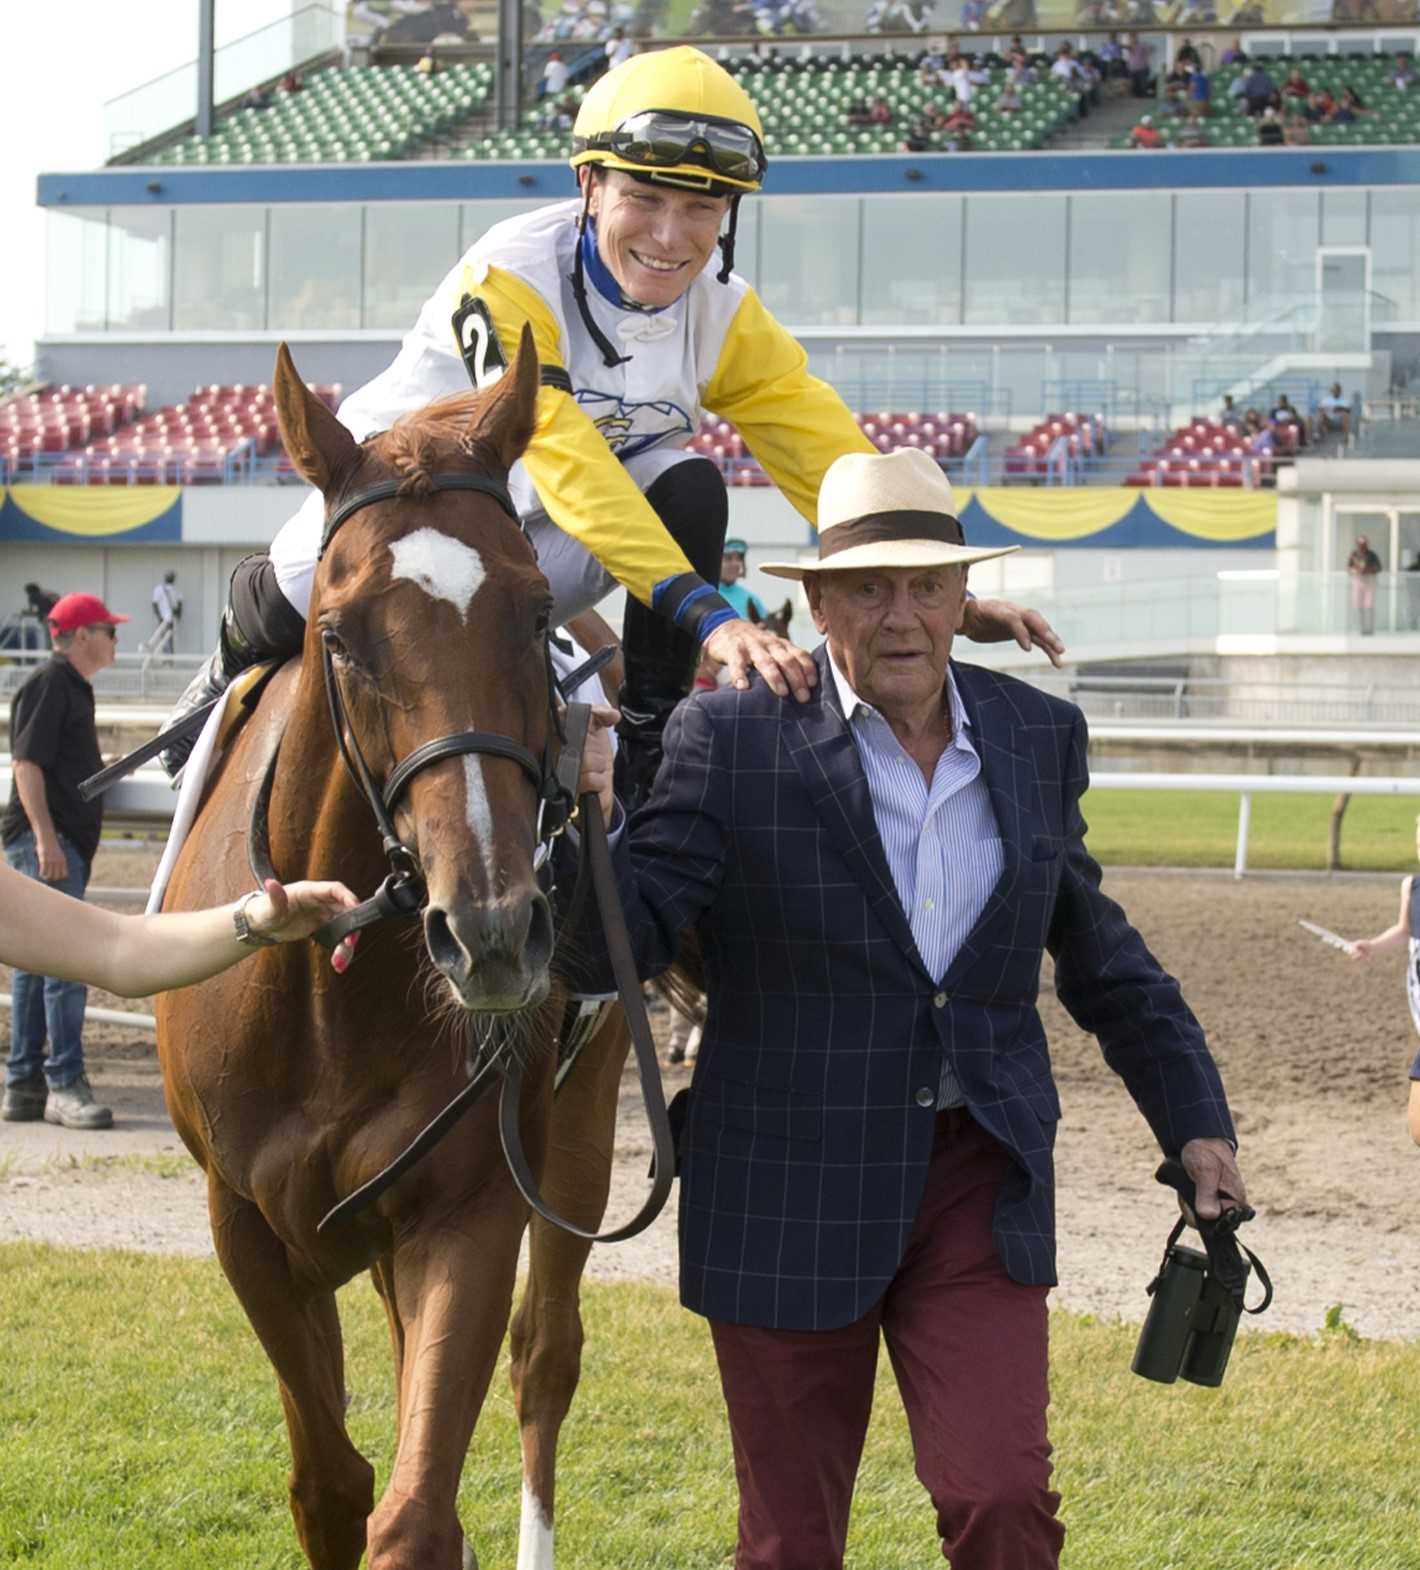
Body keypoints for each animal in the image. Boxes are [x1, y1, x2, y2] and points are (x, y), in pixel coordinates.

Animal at [157, 334, 631, 1570]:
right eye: (339, 632)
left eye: (532, 613)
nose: (493, 930)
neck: (329, 999)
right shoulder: (249, 1228)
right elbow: (331, 1485)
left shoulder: (468, 1205)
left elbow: (414, 1514)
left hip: (581, 1119)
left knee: (544, 1356)